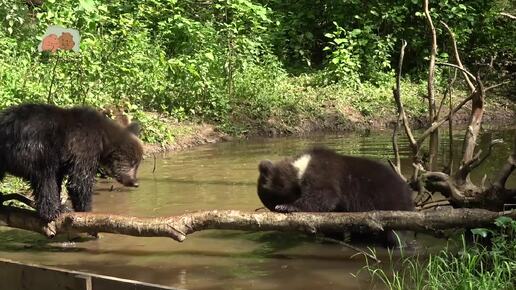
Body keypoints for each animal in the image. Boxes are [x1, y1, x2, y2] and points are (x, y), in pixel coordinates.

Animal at [0, 104, 143, 222]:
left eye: (137, 163)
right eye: (132, 162)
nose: (135, 182)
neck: (103, 140)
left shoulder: (63, 160)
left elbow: (60, 179)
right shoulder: (84, 147)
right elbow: (79, 182)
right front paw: (86, 212)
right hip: (35, 148)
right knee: (45, 178)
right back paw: (54, 211)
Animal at [258, 147, 416, 247]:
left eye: (273, 201)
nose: (274, 210)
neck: (300, 168)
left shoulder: (325, 171)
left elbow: (325, 195)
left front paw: (287, 207)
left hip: (391, 203)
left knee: (396, 234)